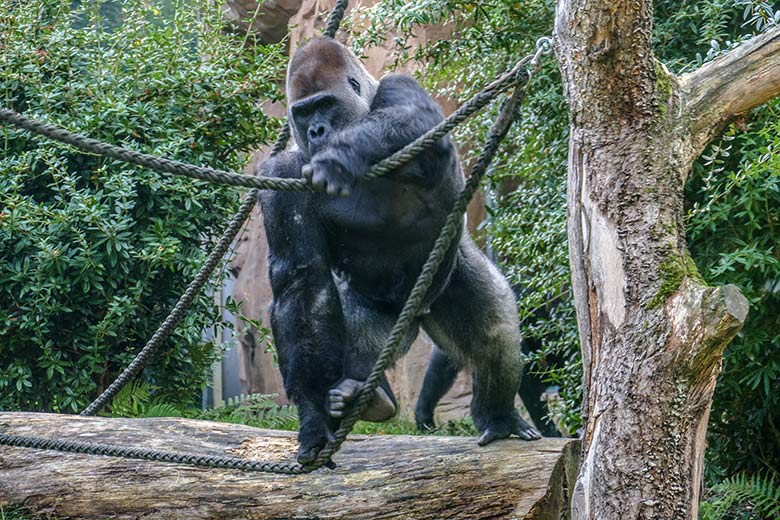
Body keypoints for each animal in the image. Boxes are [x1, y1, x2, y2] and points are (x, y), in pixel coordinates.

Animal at [258, 38, 540, 466]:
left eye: (325, 105)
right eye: (302, 112)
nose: (317, 131)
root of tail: (418, 313)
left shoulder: (398, 85)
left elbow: (415, 120)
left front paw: (341, 156)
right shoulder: (281, 177)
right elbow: (303, 285)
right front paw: (313, 418)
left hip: (448, 269)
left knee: (496, 333)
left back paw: (498, 416)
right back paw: (367, 397)